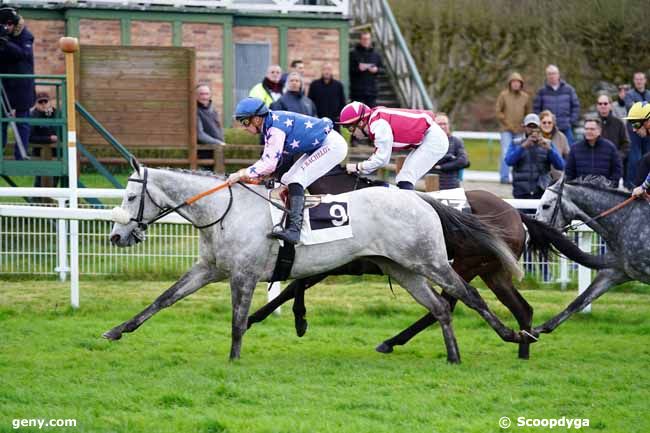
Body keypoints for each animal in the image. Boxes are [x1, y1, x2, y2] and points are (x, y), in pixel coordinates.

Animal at [102, 160, 528, 362]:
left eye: (129, 197)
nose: (116, 236)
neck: (224, 209)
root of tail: (419, 198)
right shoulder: (209, 269)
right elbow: (163, 299)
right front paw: (116, 331)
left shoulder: (243, 275)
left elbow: (239, 319)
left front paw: (234, 358)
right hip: (402, 268)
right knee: (440, 307)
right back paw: (452, 355)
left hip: (432, 261)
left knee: (468, 297)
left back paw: (515, 336)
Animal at [246, 169, 604, 358]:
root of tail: (517, 215)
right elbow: (296, 283)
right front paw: (287, 318)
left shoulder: (346, 260)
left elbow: (294, 285)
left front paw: (272, 318)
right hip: (492, 271)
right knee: (522, 308)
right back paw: (524, 348)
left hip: (463, 265)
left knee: (447, 305)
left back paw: (393, 341)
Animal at [532, 175, 648, 334]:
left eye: (546, 206)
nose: (533, 235)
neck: (626, 222)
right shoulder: (616, 271)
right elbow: (579, 301)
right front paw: (533, 331)